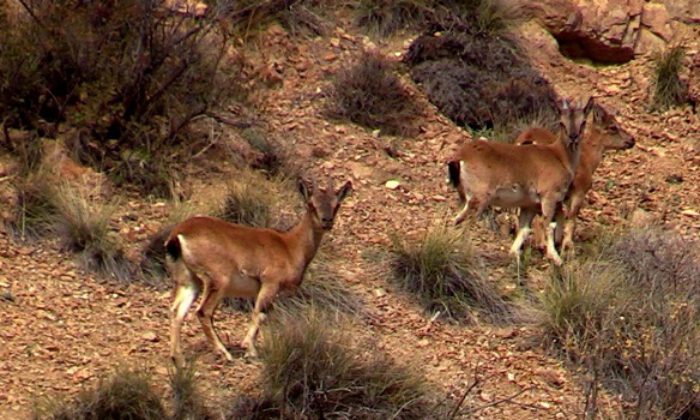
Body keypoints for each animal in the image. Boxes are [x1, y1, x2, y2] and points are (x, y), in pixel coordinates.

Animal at [164, 176, 350, 362]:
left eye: (336, 204)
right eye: (311, 204)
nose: (327, 221)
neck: (290, 246)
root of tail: (178, 235)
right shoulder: (270, 283)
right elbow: (259, 314)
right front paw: (249, 349)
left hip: (189, 280)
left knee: (176, 311)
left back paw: (177, 358)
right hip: (218, 280)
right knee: (203, 312)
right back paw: (224, 353)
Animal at [516, 102, 636, 253]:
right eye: (613, 126)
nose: (632, 140)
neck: (588, 159)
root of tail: (528, 139)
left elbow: (561, 218)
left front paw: (559, 242)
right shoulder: (579, 191)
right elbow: (571, 218)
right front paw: (568, 246)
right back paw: (541, 245)